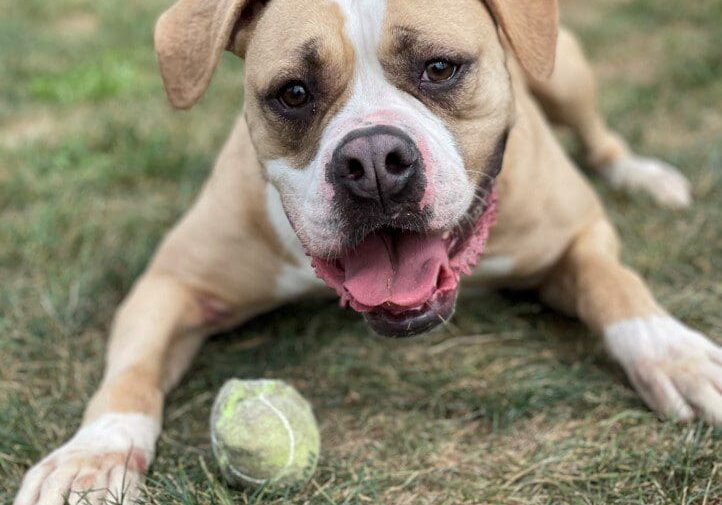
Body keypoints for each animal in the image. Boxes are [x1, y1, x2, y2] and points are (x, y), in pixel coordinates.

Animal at [12, 0, 720, 502]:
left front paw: (677, 355)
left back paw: (645, 176)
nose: (375, 160)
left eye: (441, 68)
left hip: (566, 68)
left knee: (600, 135)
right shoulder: (172, 283)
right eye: (294, 92)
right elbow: (129, 376)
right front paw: (91, 455)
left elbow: (617, 287)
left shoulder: (580, 234)